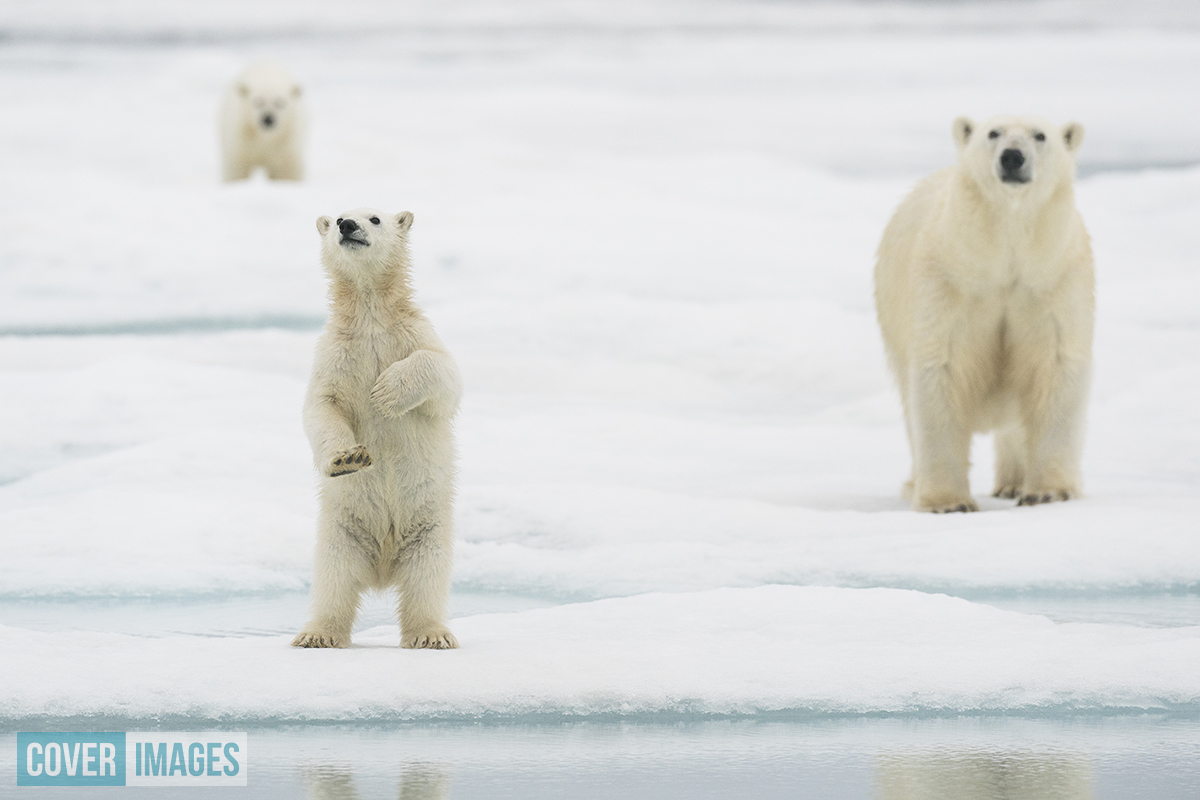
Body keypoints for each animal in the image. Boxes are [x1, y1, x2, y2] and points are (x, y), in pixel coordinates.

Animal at [292, 208, 461, 649]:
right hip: (340, 532)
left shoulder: (414, 335)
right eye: (337, 217)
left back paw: (431, 635)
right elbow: (321, 406)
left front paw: (386, 392)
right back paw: (317, 634)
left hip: (429, 529)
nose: (347, 225)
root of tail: (383, 568)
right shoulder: (334, 353)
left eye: (375, 218)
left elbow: (444, 376)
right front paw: (348, 458)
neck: (370, 316)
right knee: (333, 580)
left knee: (426, 579)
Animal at [874, 115, 1094, 513]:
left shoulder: (1054, 281)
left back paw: (1013, 483)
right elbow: (941, 370)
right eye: (993, 132)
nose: (1012, 157)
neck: (1004, 255)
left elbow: (1055, 367)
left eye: (1040, 135)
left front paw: (1048, 492)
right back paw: (915, 484)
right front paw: (947, 502)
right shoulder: (948, 283)